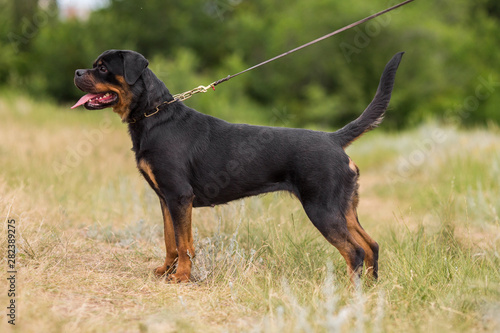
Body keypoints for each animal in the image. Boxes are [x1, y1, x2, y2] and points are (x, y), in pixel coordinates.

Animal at [73, 50, 402, 282]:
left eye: (103, 68)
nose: (76, 71)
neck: (154, 115)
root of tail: (334, 139)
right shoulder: (166, 199)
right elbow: (172, 241)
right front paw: (166, 272)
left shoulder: (179, 196)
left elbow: (183, 243)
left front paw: (181, 278)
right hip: (344, 208)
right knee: (371, 245)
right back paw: (372, 290)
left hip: (322, 209)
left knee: (355, 251)